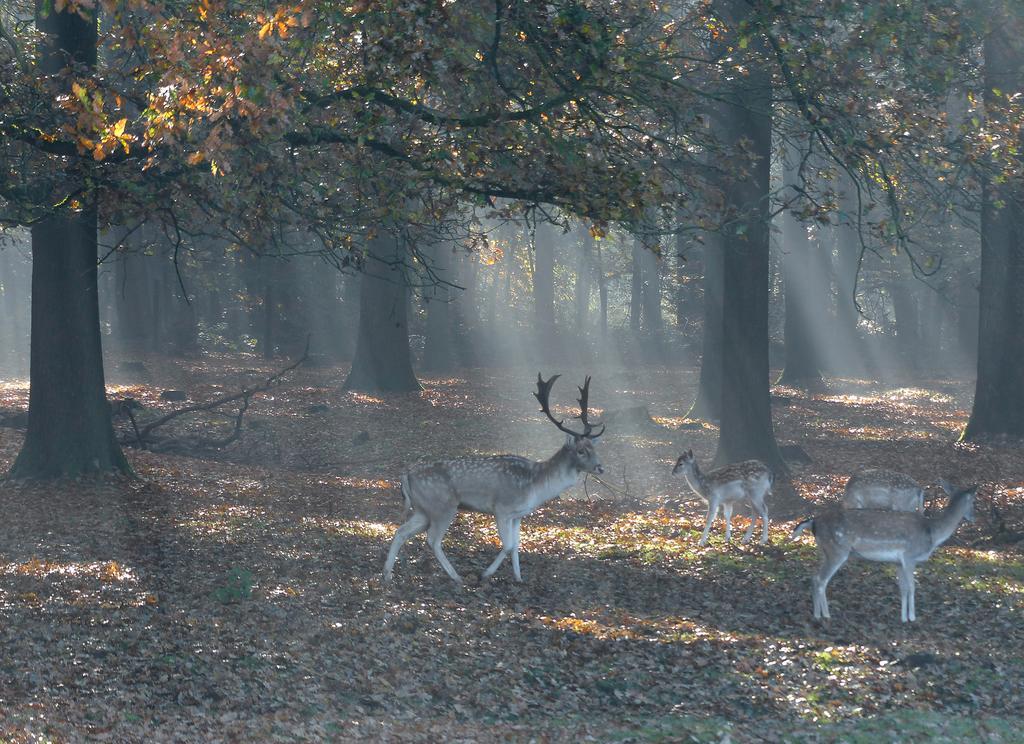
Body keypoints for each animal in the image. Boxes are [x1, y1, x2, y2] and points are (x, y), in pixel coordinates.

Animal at [385, 374, 606, 585]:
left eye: (593, 448)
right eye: (581, 451)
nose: (600, 467)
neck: (536, 485)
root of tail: (406, 475)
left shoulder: (518, 515)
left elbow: (517, 545)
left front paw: (519, 578)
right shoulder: (502, 508)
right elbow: (507, 545)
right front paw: (485, 574)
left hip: (423, 509)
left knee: (401, 531)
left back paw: (386, 574)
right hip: (443, 506)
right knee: (432, 539)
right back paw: (456, 577)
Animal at [790, 476, 974, 622]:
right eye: (974, 501)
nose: (973, 518)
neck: (932, 533)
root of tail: (813, 522)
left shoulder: (898, 562)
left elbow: (903, 588)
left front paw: (903, 618)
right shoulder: (910, 556)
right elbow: (912, 587)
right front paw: (913, 618)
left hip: (824, 551)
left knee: (814, 577)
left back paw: (818, 614)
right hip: (837, 550)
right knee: (821, 580)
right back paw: (824, 615)